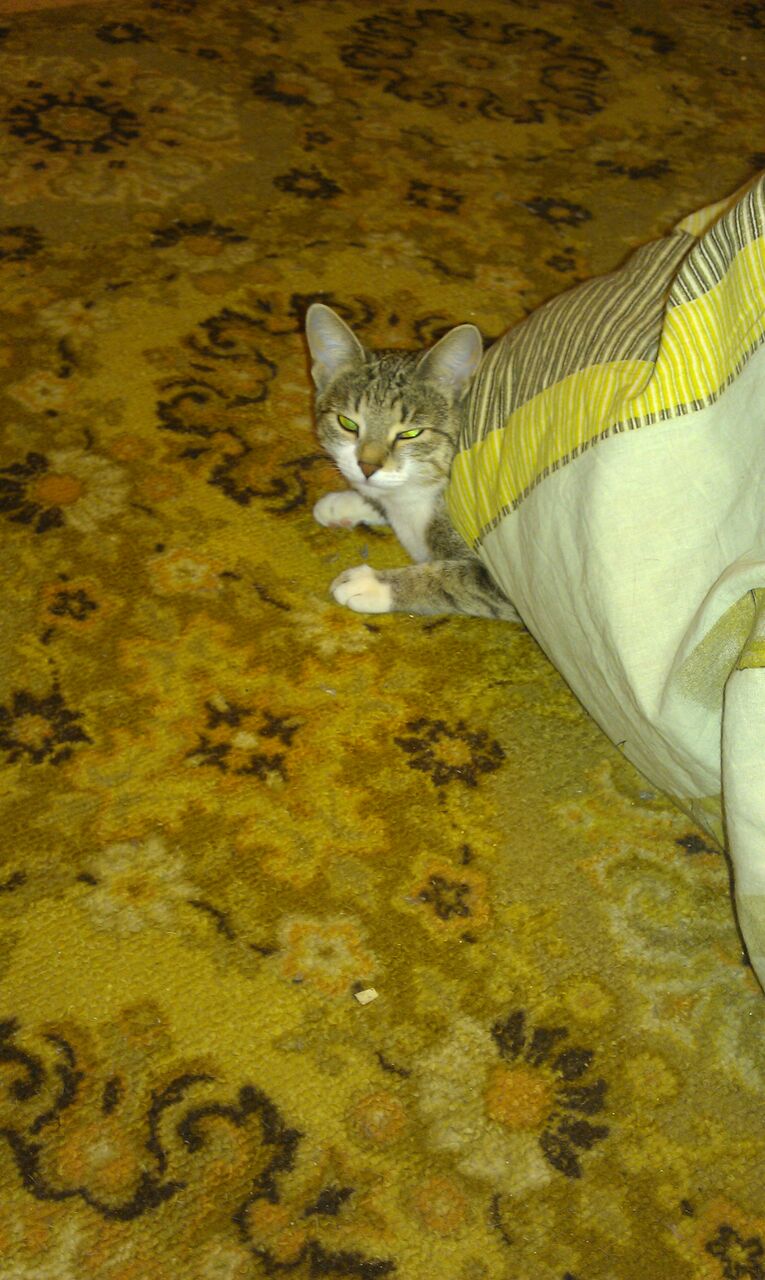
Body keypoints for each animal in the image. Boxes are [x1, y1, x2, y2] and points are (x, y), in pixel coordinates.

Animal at [305, 303, 519, 621]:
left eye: (410, 433)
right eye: (347, 423)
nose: (367, 467)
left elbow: (459, 580)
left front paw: (373, 585)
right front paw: (344, 503)